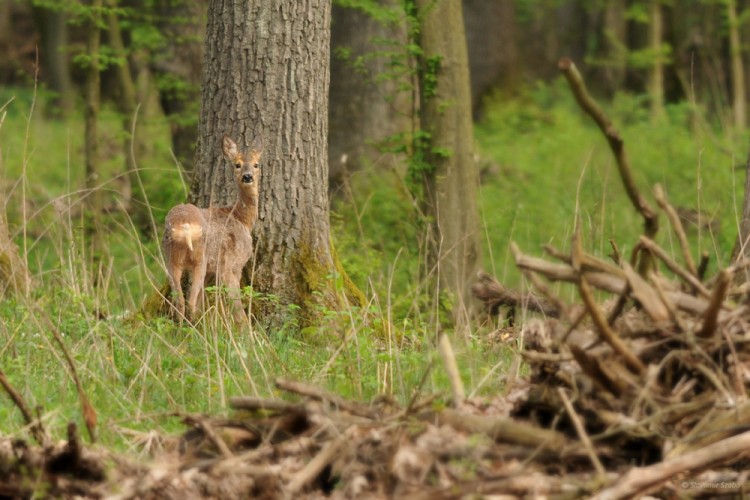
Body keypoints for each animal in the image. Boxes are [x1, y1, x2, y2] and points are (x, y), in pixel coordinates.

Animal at [163, 134, 262, 320]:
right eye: (237, 164)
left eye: (256, 164)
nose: (247, 177)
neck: (241, 218)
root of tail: (185, 226)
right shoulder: (231, 264)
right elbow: (237, 309)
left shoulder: (211, 270)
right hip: (200, 259)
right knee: (190, 302)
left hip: (171, 259)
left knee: (180, 302)